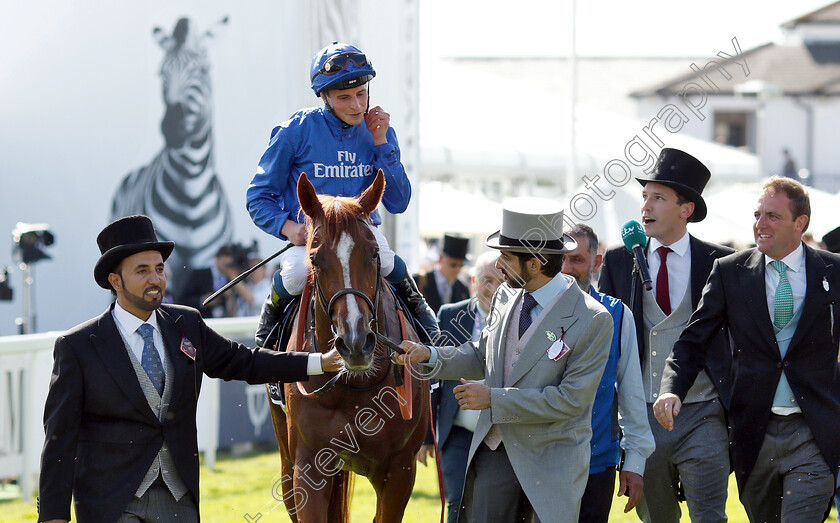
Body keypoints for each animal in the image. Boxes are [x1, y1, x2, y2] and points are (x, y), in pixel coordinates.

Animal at [270, 172, 430, 523]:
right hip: (287, 461)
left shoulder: (400, 469)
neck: (354, 387)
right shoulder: (308, 468)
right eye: (315, 259)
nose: (356, 343)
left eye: (373, 254)